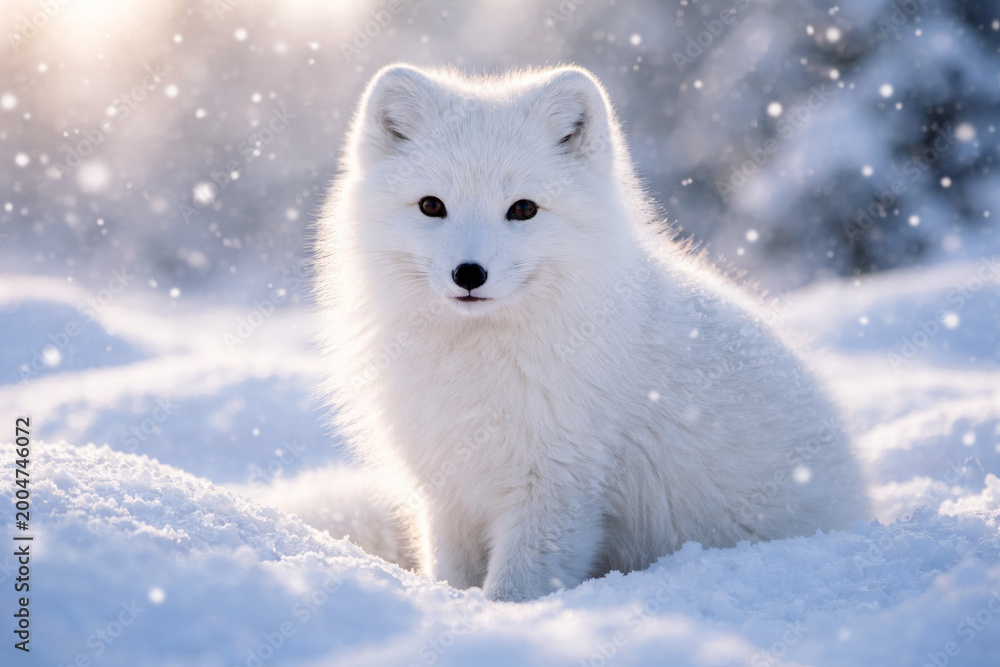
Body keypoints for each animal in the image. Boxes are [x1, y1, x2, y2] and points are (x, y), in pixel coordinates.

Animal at [311, 64, 870, 602]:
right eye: (431, 205)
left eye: (523, 209)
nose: (469, 274)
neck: (477, 357)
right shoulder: (447, 490)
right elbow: (452, 575)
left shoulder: (556, 486)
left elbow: (513, 591)